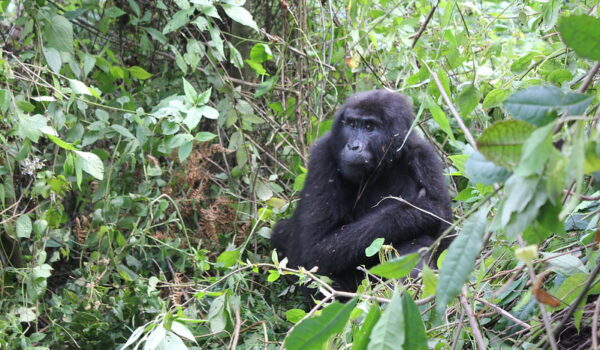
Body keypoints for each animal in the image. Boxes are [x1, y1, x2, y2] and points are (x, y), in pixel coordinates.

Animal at [270, 89, 450, 292]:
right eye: (352, 124)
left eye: (370, 127)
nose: (353, 146)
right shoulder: (322, 155)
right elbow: (315, 249)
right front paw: (419, 211)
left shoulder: (425, 157)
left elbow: (445, 244)